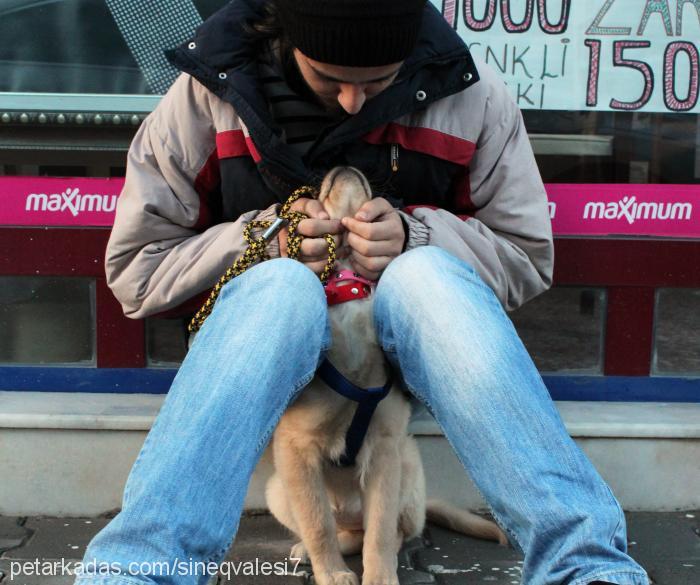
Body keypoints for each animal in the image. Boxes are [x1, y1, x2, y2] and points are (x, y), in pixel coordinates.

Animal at [266, 165, 506, 584]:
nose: (344, 165)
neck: (349, 285)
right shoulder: (296, 450)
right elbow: (317, 525)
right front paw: (332, 573)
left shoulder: (382, 450)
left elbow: (379, 532)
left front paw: (378, 577)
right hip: (278, 489)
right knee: (336, 528)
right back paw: (308, 551)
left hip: (407, 467)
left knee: (386, 532)